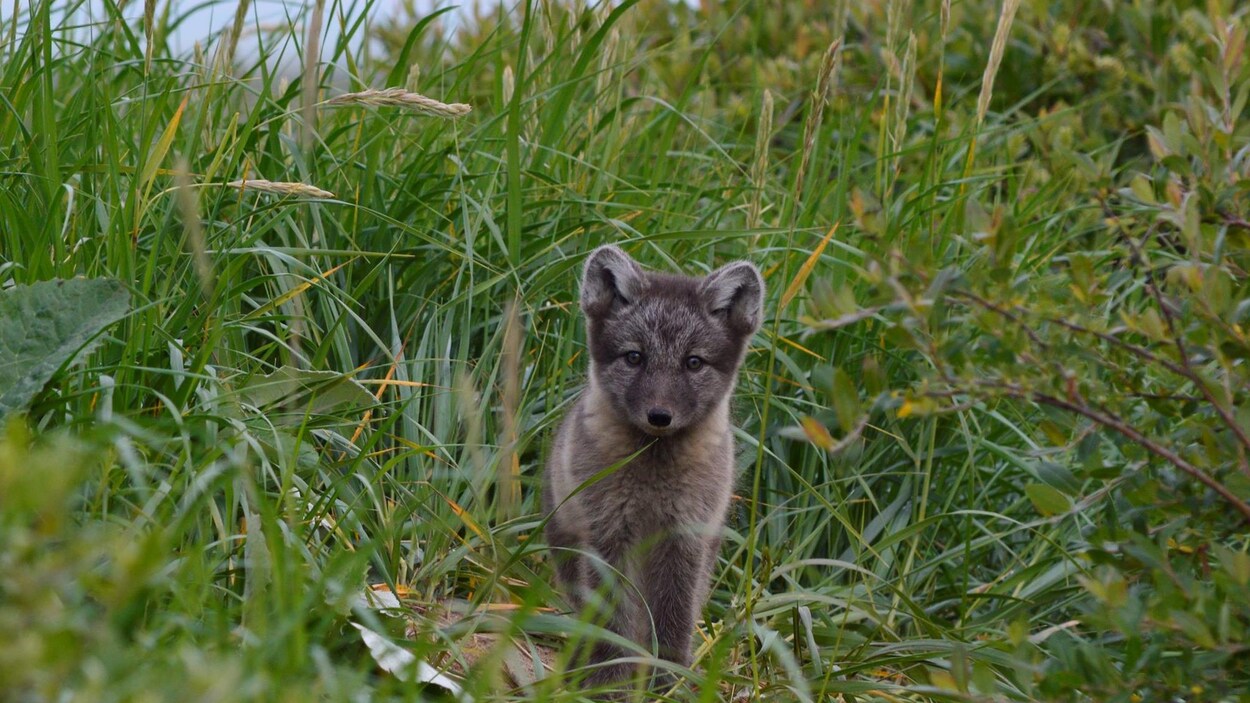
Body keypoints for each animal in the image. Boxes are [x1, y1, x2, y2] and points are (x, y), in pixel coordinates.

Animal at [542, 243, 765, 685]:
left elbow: (674, 613)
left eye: (693, 362)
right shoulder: (608, 533)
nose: (659, 416)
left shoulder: (685, 536)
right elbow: (613, 618)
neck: (653, 474)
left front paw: (668, 679)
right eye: (634, 357)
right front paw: (610, 679)